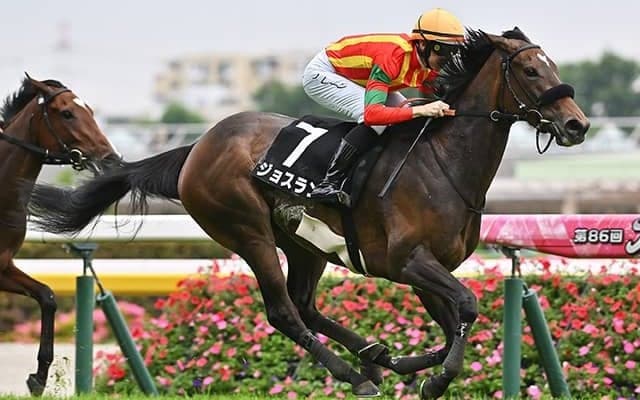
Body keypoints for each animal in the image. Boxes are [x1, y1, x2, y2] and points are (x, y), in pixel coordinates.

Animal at [0, 75, 120, 395]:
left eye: (90, 110)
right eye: (67, 113)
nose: (111, 159)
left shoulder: (4, 265)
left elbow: (48, 297)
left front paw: (38, 378)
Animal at [22, 28, 589, 398]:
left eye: (556, 67)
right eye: (532, 69)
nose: (578, 125)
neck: (443, 162)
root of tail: (197, 147)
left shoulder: (432, 268)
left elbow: (457, 320)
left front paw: (409, 361)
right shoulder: (408, 261)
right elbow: (466, 308)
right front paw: (432, 377)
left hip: (302, 240)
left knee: (306, 304)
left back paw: (373, 358)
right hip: (247, 231)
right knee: (283, 311)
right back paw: (355, 373)